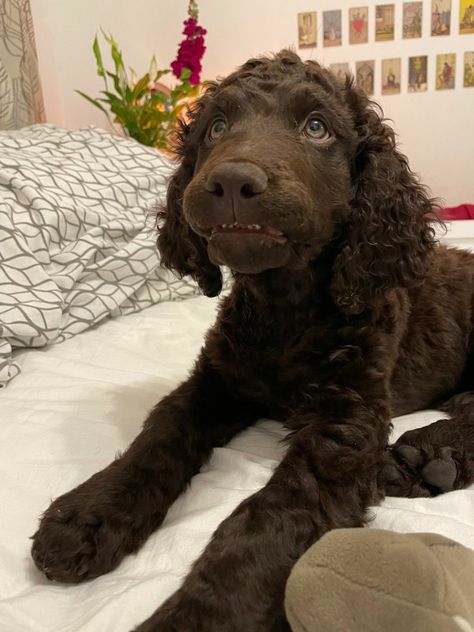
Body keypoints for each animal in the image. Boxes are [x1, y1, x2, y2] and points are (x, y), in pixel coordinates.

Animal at [30, 50, 474, 632]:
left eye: (317, 128)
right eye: (217, 127)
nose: (232, 181)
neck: (283, 310)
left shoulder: (344, 427)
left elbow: (267, 522)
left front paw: (198, 615)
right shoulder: (215, 382)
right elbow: (157, 437)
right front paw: (88, 513)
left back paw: (430, 455)